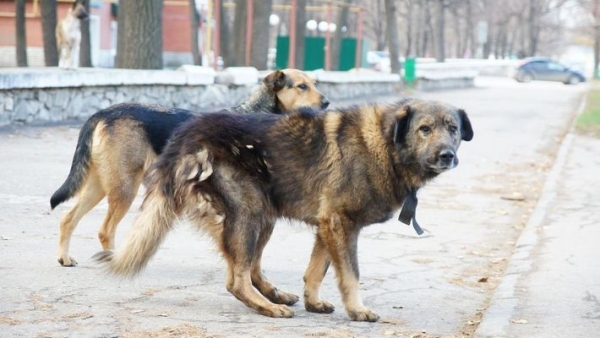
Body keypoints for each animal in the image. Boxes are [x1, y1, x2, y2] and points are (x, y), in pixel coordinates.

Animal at [52, 68, 330, 266]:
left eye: (316, 83)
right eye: (302, 86)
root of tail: (102, 113)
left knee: (67, 218)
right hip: (125, 187)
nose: (327, 103)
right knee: (105, 230)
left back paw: (64, 257)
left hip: (100, 185)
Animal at [96, 97, 474, 322]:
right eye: (424, 129)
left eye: (452, 129)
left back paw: (275, 294)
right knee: (236, 279)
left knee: (249, 268)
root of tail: (187, 134)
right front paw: (357, 309)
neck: (384, 143)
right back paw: (268, 307)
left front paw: (313, 302)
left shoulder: (328, 226)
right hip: (250, 212)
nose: (447, 155)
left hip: (264, 217)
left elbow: (317, 271)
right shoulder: (341, 225)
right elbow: (351, 274)